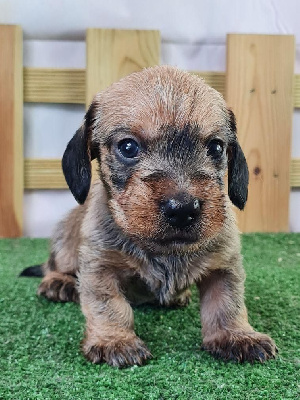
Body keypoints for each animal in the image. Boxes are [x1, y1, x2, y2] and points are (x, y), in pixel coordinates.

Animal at [22, 66, 278, 368]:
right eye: (128, 147)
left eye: (216, 147)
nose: (183, 209)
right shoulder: (99, 267)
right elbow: (109, 305)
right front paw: (115, 340)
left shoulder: (224, 266)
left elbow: (227, 303)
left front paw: (236, 335)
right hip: (66, 243)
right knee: (54, 265)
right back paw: (58, 282)